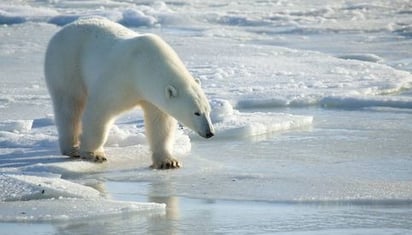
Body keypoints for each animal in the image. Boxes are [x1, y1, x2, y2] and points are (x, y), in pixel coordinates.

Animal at [44, 17, 214, 169]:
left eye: (208, 111)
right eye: (196, 112)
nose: (210, 133)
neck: (143, 66)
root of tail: (63, 29)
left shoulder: (153, 96)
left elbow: (160, 124)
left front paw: (168, 161)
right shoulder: (120, 79)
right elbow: (99, 110)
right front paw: (94, 154)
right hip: (66, 64)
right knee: (69, 106)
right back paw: (72, 148)